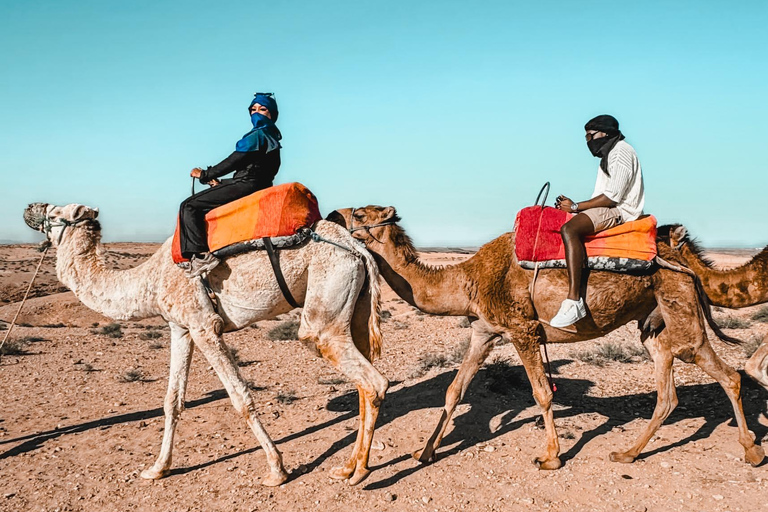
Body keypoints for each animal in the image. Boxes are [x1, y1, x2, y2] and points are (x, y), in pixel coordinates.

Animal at [24, 202, 390, 486]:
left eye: (55, 212)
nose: (30, 208)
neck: (150, 280)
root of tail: (358, 249)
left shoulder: (205, 326)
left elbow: (240, 398)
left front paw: (276, 470)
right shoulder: (180, 328)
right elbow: (172, 401)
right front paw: (157, 469)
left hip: (325, 306)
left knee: (371, 379)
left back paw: (359, 473)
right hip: (353, 308)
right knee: (363, 380)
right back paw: (347, 467)